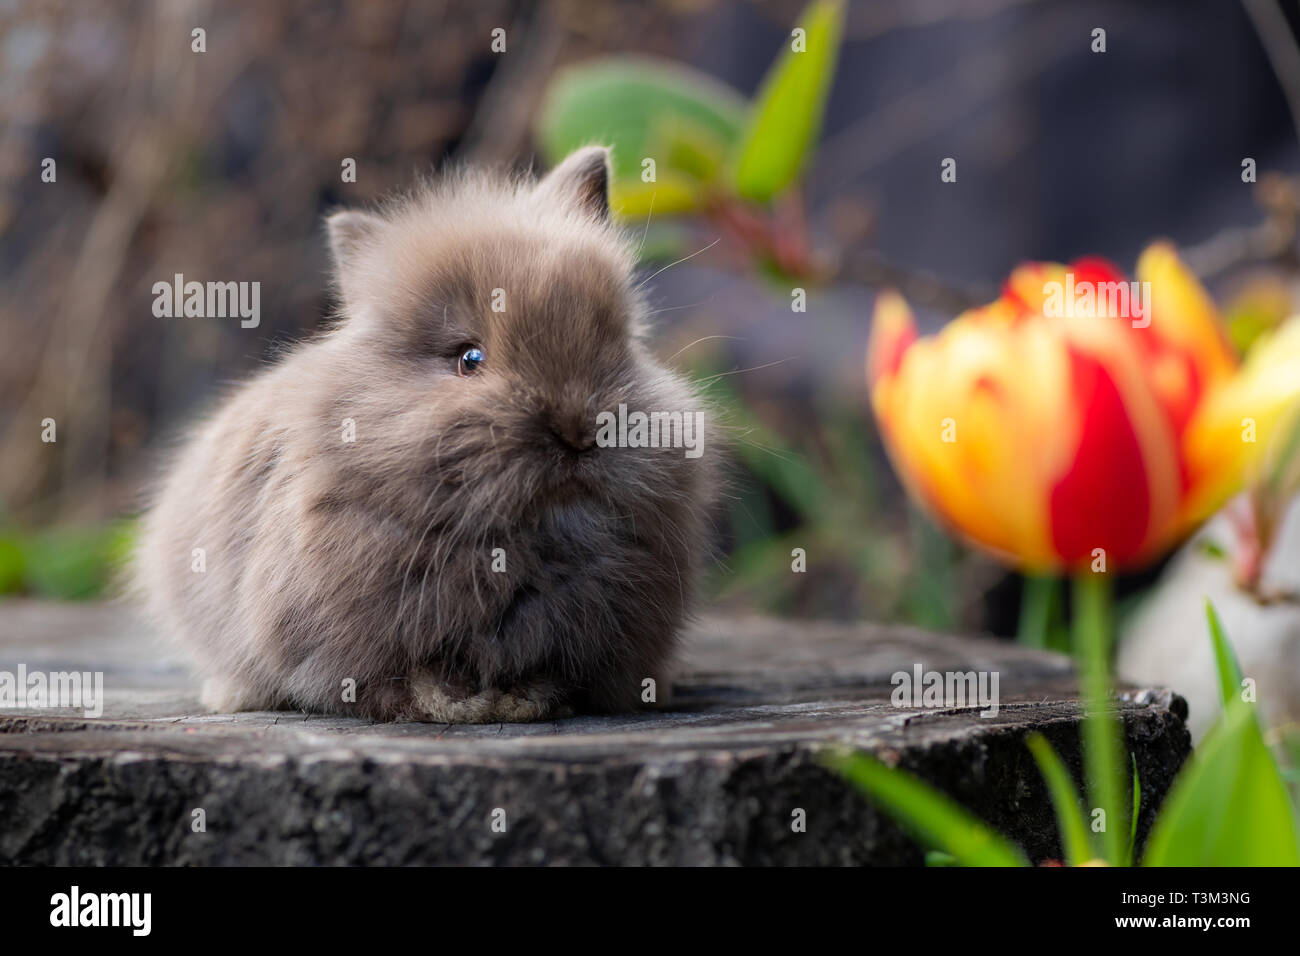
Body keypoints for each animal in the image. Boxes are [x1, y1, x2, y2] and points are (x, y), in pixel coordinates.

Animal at [134, 146, 720, 723]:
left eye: (618, 341)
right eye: (469, 359)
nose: (579, 429)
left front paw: (523, 699)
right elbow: (406, 682)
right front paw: (465, 702)